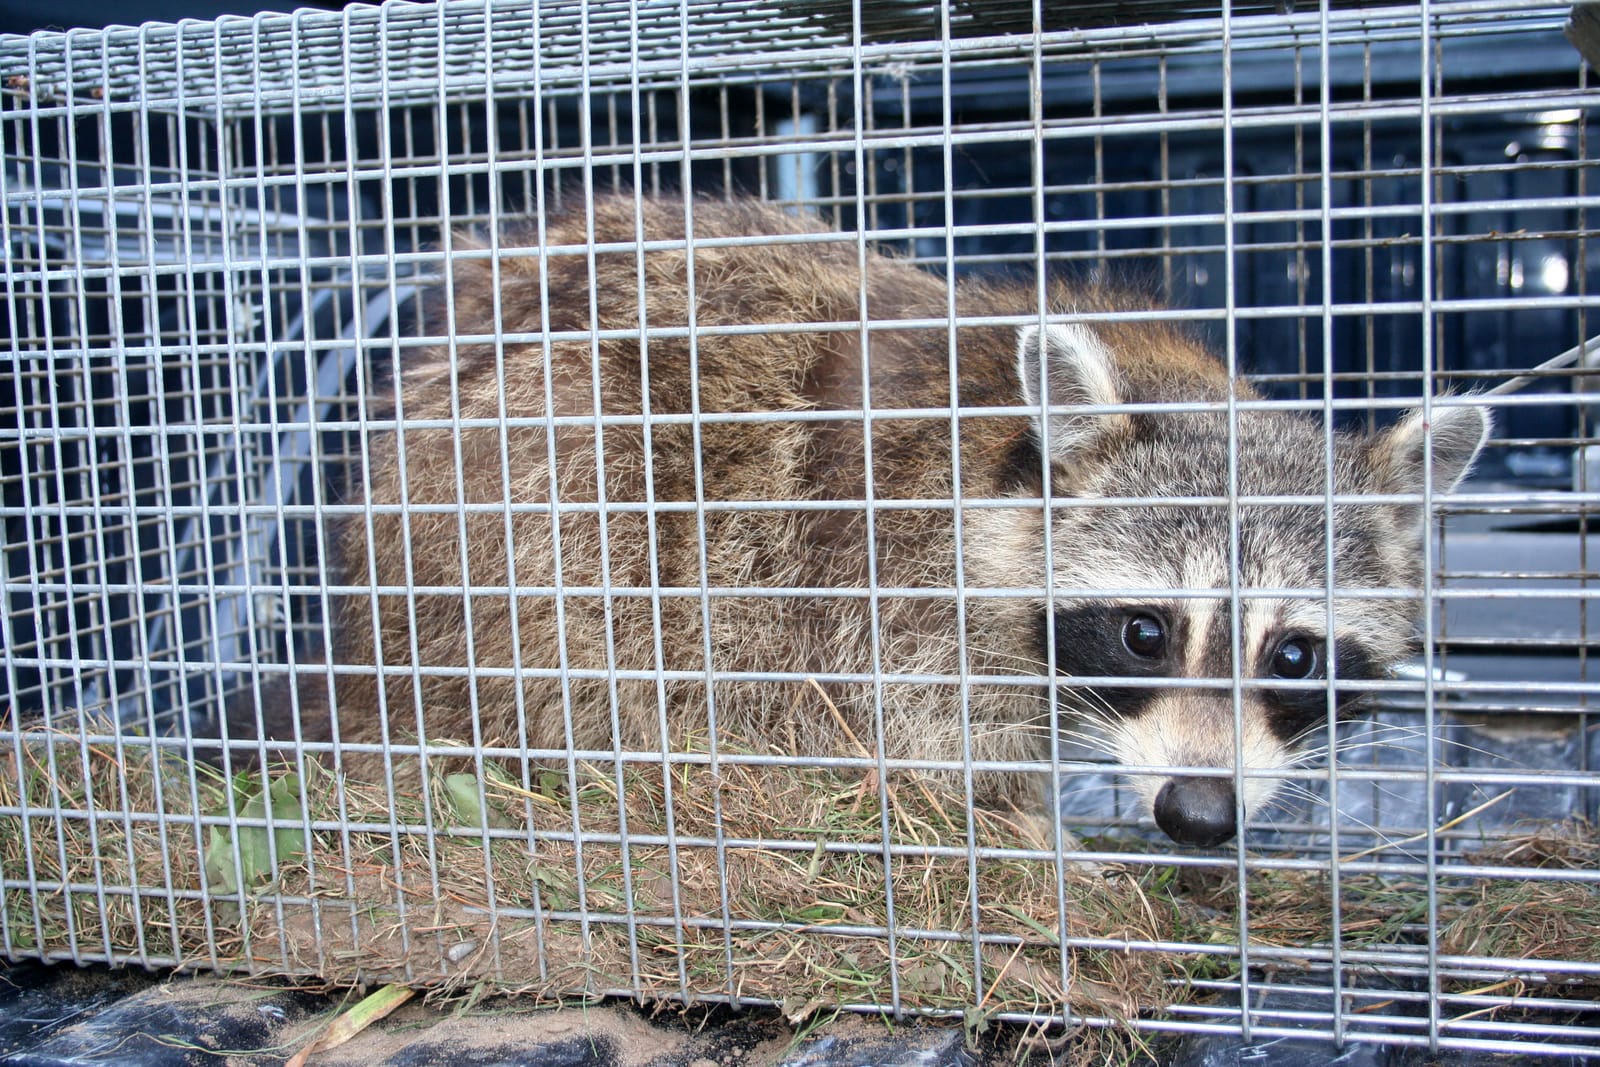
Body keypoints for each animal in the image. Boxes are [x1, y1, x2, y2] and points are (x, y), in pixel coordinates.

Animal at [236, 195, 1484, 851]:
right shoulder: (897, 578)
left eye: (1295, 653)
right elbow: (925, 741)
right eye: (1145, 633)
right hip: (528, 503)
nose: (1198, 813)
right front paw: (1037, 846)